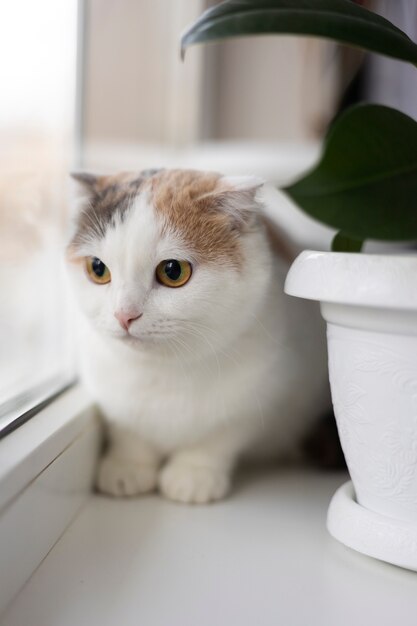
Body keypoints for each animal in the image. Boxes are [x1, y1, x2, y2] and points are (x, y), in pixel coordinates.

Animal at [66, 169, 330, 502]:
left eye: (172, 271)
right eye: (98, 269)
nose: (124, 315)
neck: (164, 372)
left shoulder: (264, 393)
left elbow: (218, 437)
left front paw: (193, 474)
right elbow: (127, 429)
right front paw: (127, 465)